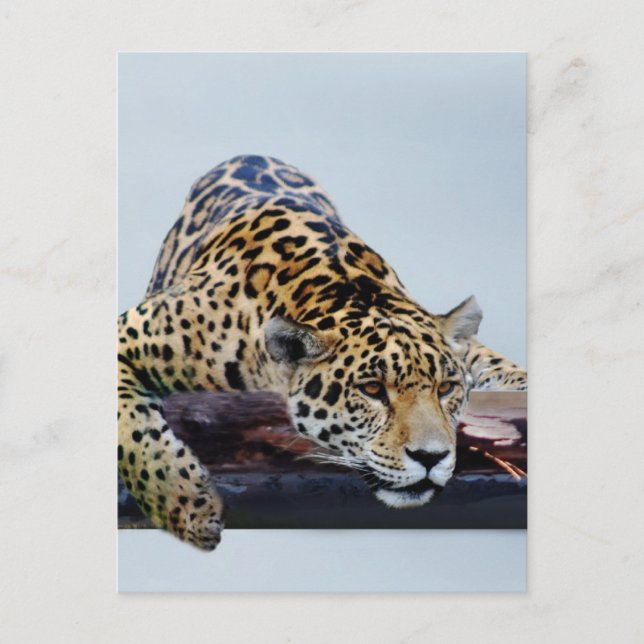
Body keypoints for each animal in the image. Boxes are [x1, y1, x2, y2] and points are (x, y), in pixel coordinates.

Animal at [118, 154, 527, 550]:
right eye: (372, 389)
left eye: (445, 389)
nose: (431, 458)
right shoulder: (129, 332)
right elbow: (134, 432)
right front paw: (188, 506)